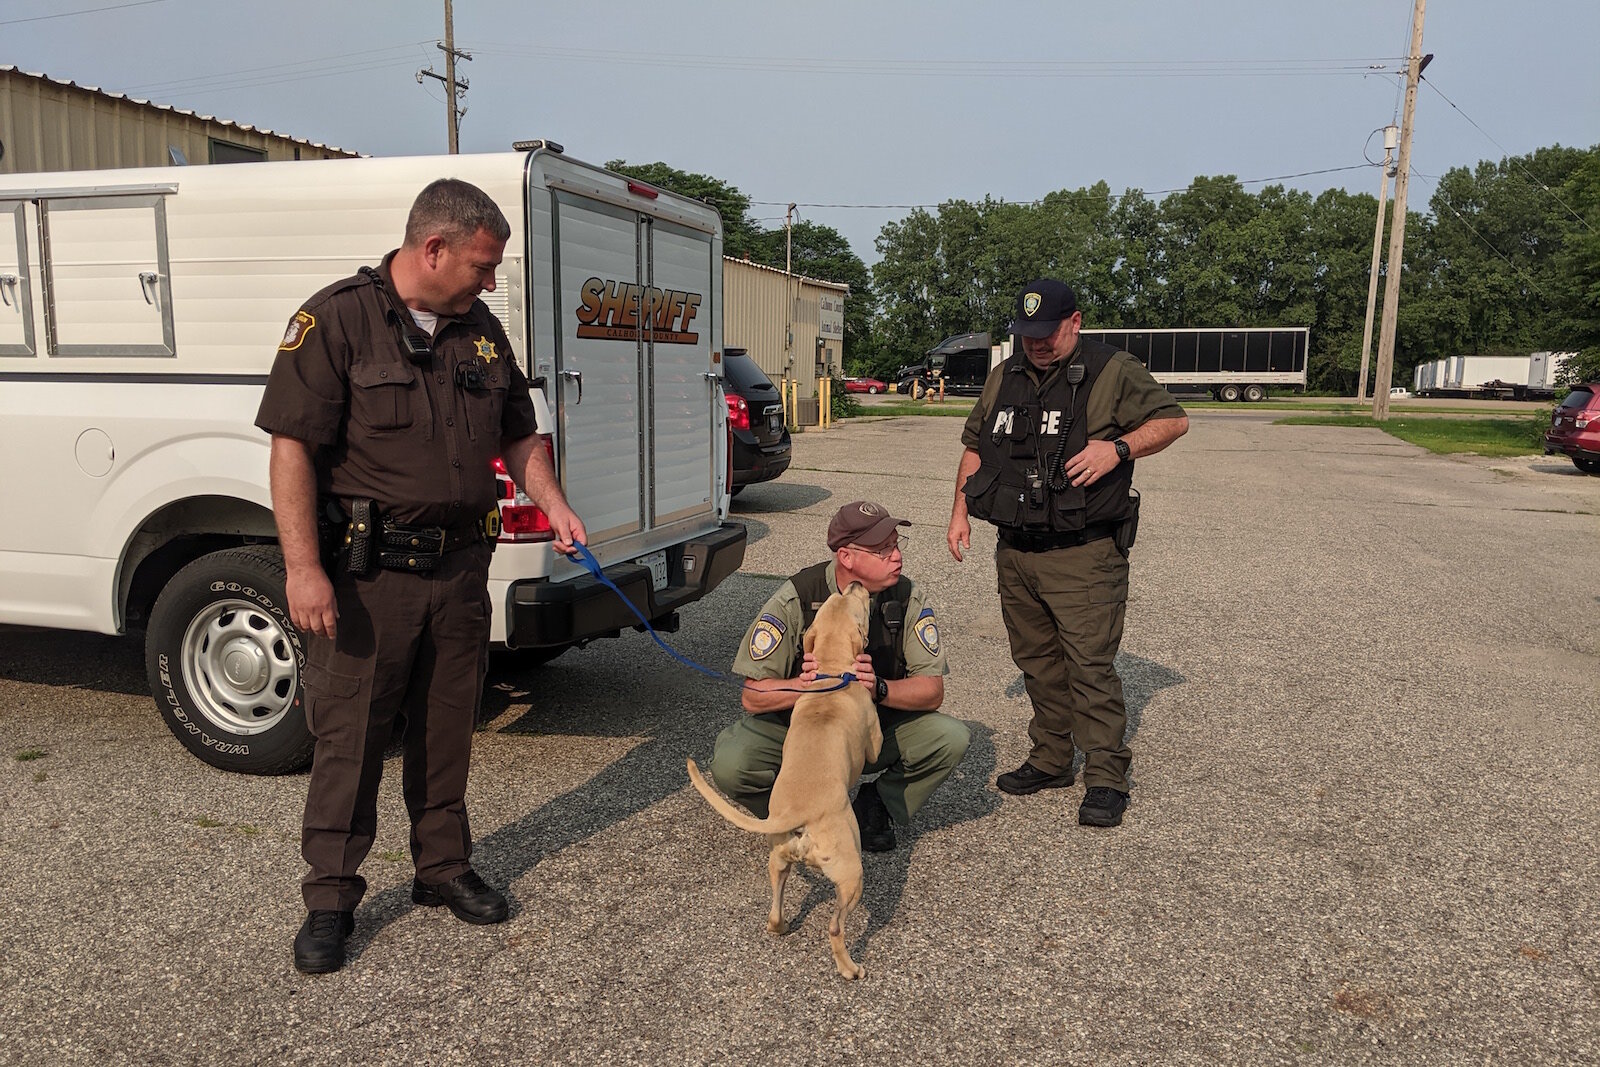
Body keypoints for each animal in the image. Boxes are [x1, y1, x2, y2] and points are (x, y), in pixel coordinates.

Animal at [688, 579, 883, 979]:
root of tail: (799, 818)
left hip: (777, 861)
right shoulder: (873, 739)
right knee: (835, 926)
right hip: (851, 874)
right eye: (856, 603)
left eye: (840, 598)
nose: (857, 583)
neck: (830, 672)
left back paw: (780, 926)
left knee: (775, 910)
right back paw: (850, 968)